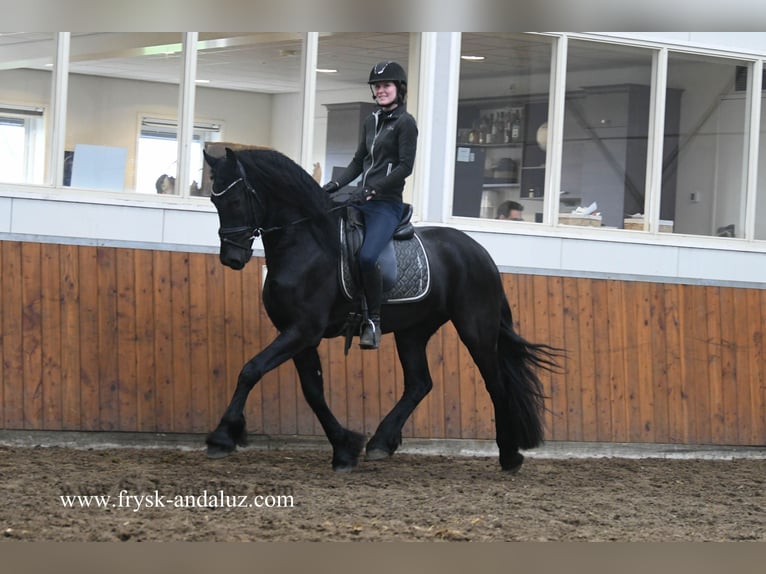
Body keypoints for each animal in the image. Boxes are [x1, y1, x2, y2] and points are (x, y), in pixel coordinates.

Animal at [201, 147, 560, 472]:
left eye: (236, 201)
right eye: (215, 202)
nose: (232, 258)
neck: (307, 244)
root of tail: (480, 253)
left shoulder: (302, 330)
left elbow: (251, 370)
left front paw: (222, 436)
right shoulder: (297, 333)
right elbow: (313, 392)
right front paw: (345, 448)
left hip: (476, 329)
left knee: (495, 384)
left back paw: (509, 456)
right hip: (412, 331)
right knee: (419, 383)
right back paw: (380, 443)